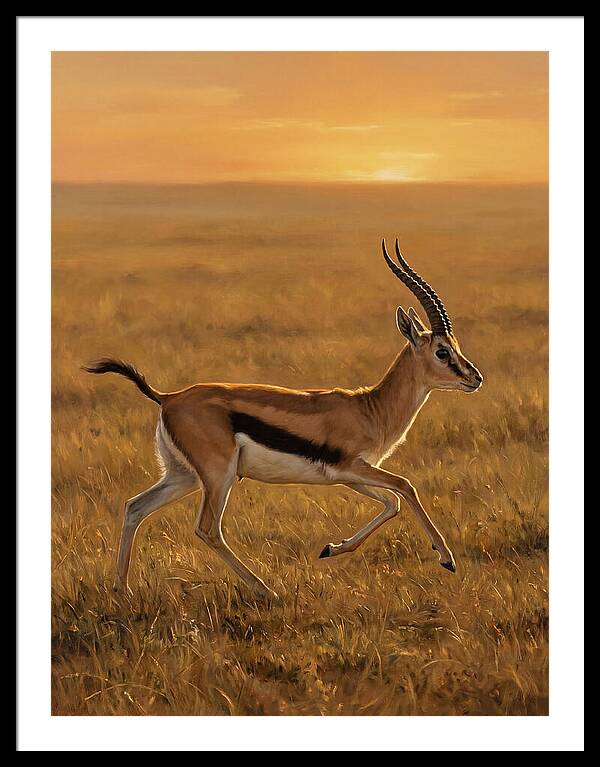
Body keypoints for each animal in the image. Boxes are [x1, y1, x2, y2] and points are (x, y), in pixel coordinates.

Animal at [85, 238, 482, 600]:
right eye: (442, 351)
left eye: (457, 346)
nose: (475, 377)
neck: (370, 408)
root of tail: (168, 397)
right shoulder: (352, 467)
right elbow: (405, 487)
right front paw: (446, 559)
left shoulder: (348, 475)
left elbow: (392, 503)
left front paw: (331, 548)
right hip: (218, 476)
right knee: (207, 529)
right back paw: (266, 590)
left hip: (183, 476)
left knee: (135, 507)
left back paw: (122, 590)